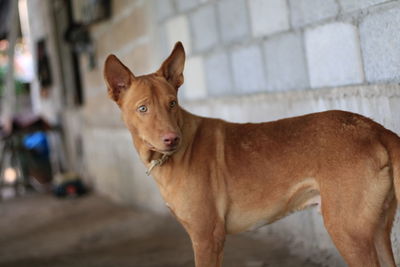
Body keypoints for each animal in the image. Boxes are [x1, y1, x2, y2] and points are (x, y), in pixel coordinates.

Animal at [104, 40, 400, 266]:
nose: (171, 139)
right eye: (143, 108)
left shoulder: (207, 237)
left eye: (172, 103)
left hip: (347, 232)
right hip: (378, 231)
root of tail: (375, 128)